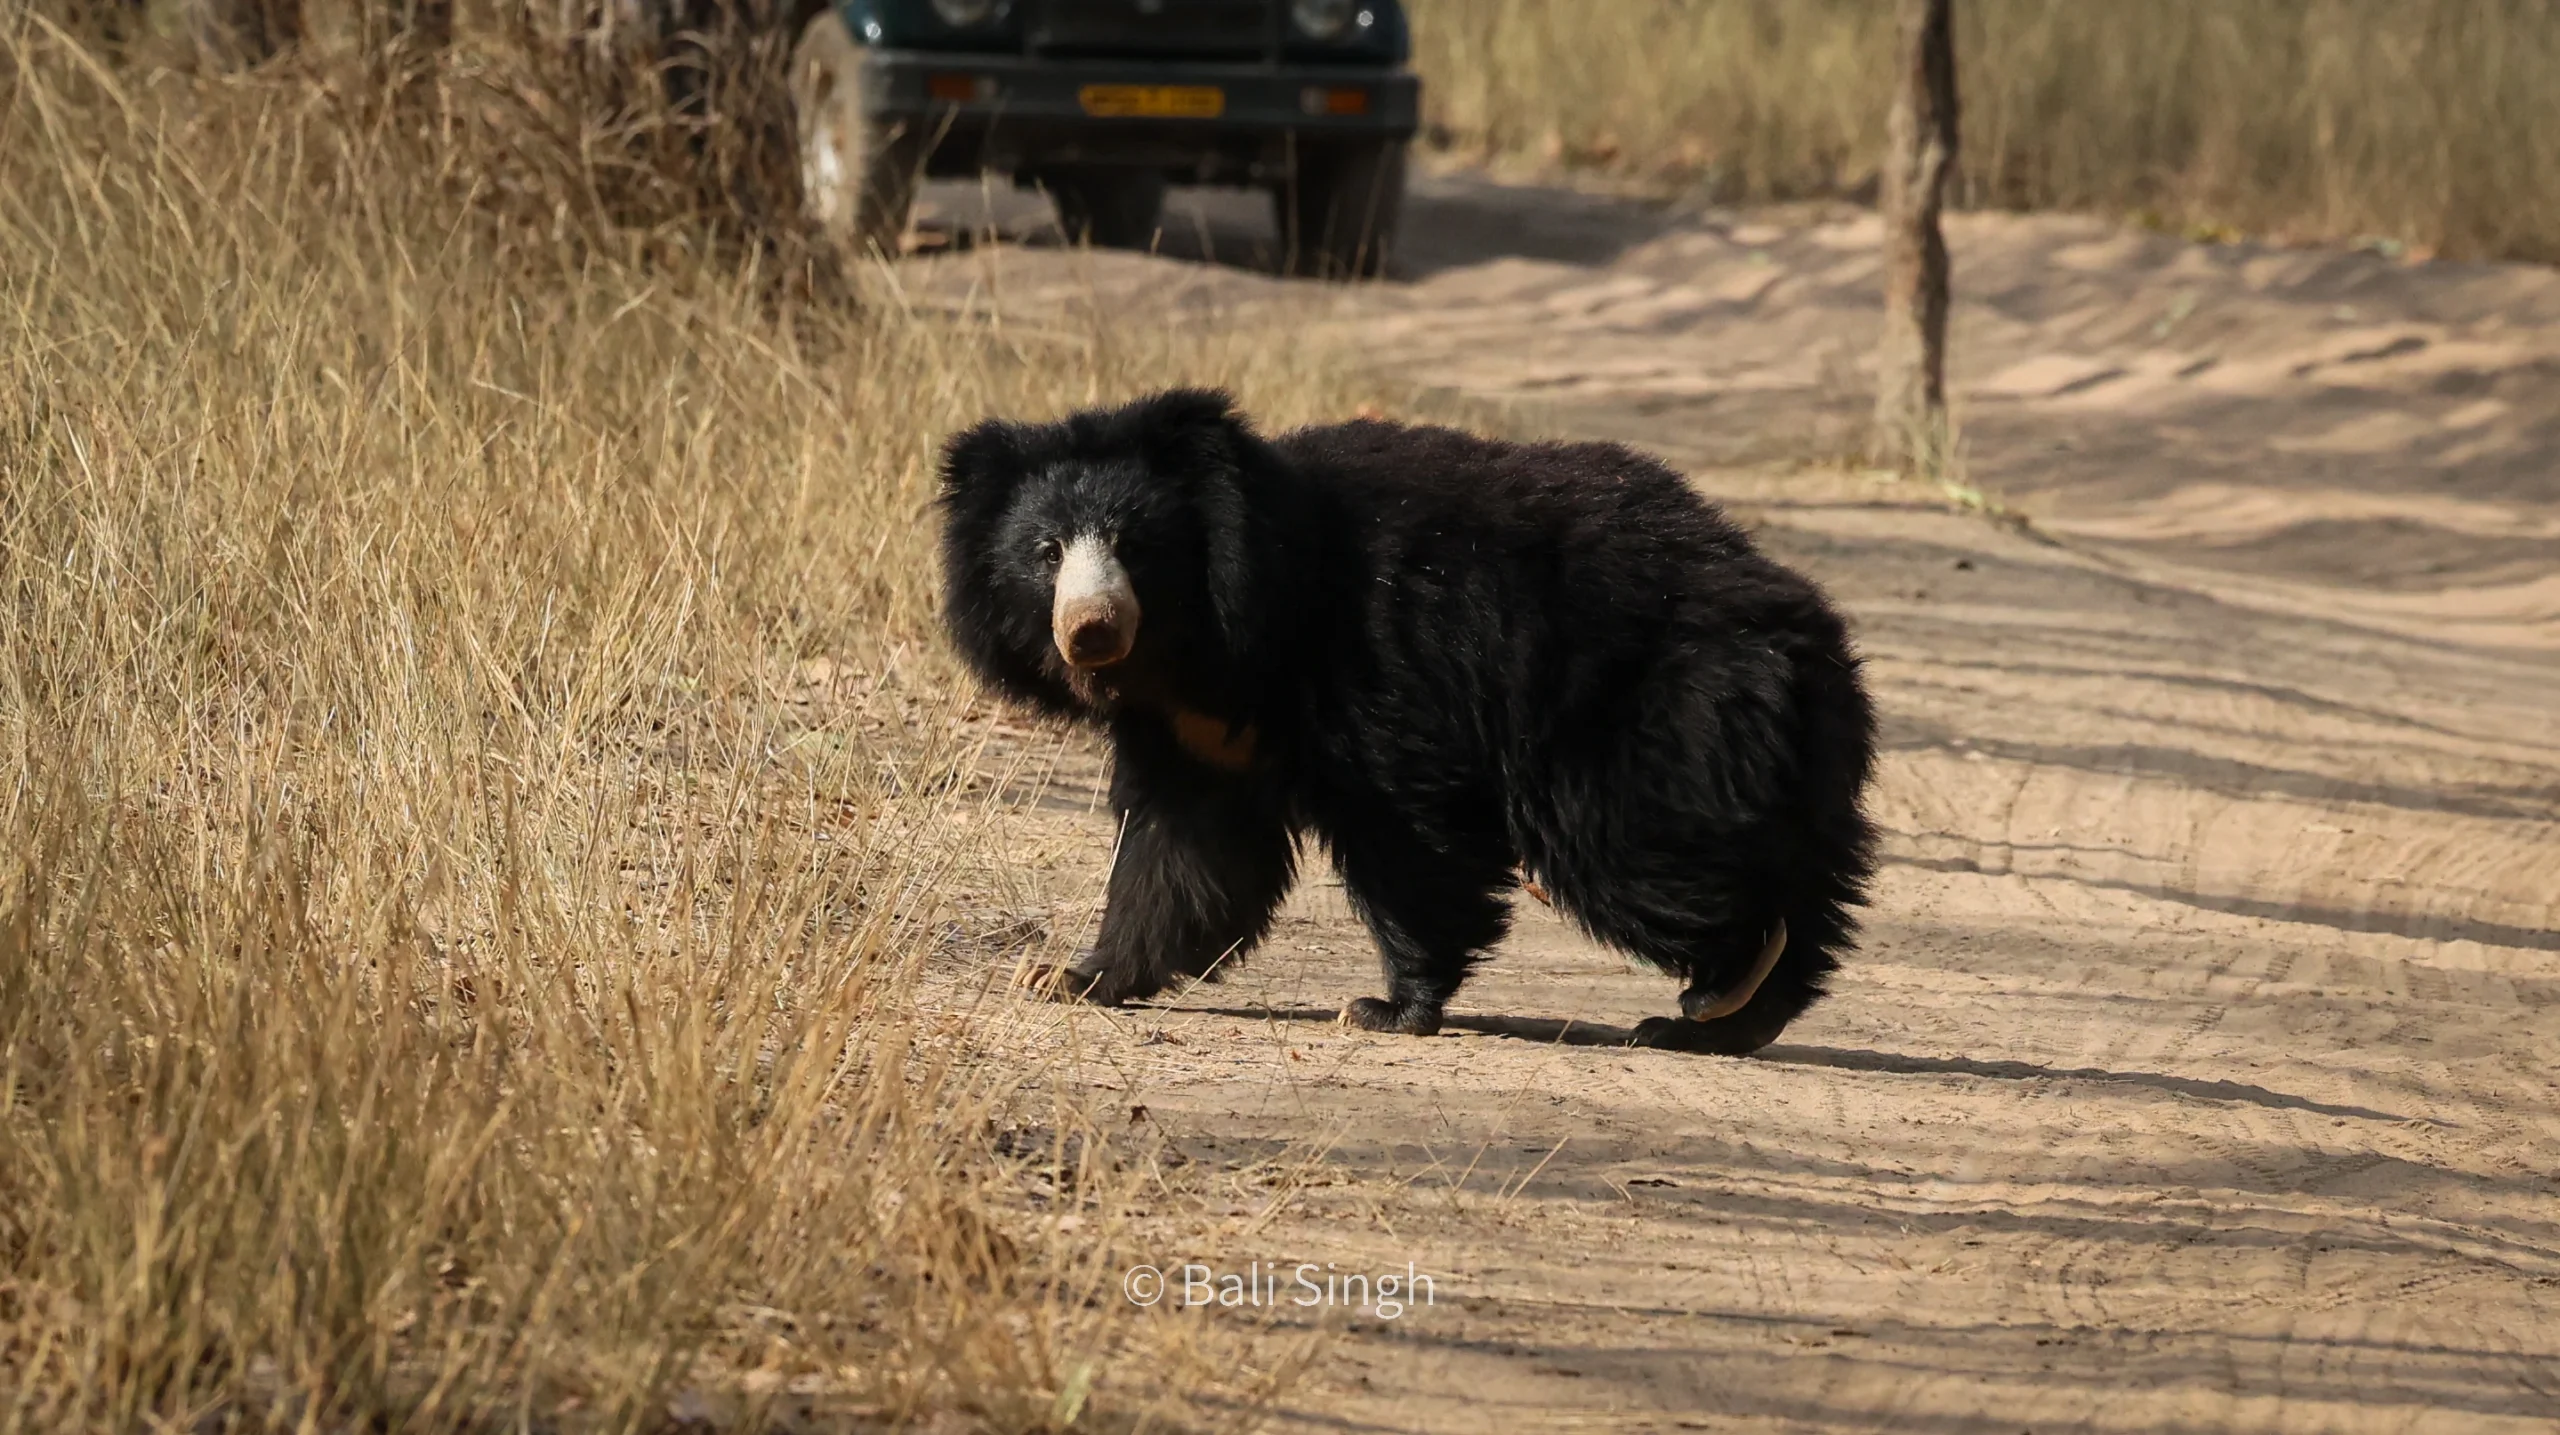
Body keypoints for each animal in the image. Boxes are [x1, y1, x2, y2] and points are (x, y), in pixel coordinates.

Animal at [935, 389, 1878, 1054]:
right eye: (1046, 553)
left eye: (1134, 546)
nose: (1091, 629)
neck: (1206, 640)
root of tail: (1805, 624)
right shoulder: (1197, 727)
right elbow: (1185, 849)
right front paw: (1066, 975)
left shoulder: (1375, 663)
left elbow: (1409, 835)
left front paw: (1386, 1006)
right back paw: (1735, 1014)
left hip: (1641, 705)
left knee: (1631, 847)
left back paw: (1718, 985)